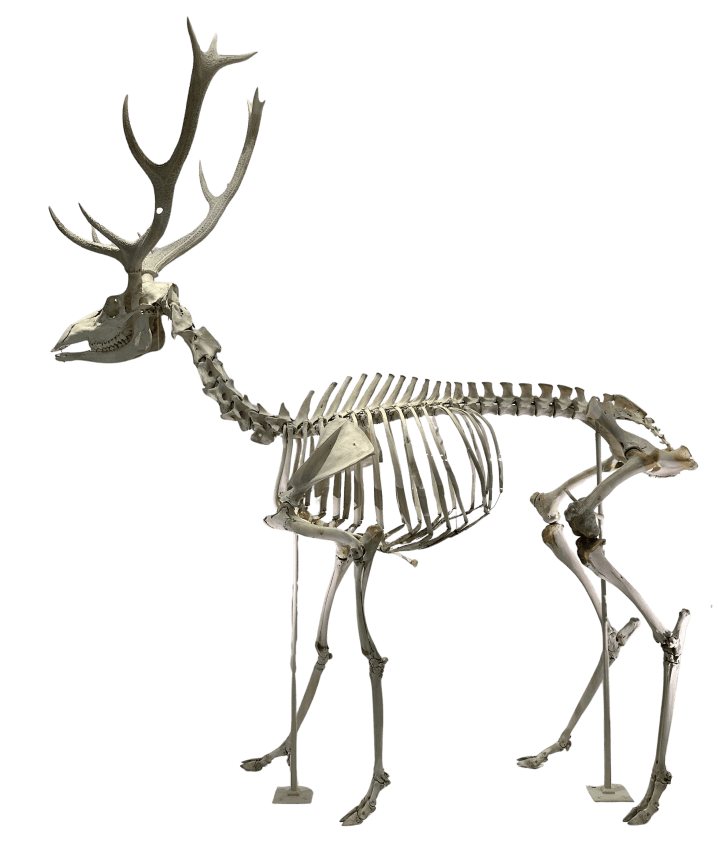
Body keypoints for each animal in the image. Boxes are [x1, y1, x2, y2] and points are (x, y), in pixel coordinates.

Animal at [49, 18, 698, 828]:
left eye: (115, 305)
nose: (59, 342)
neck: (281, 429)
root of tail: (605, 405)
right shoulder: (331, 538)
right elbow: (321, 641)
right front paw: (276, 759)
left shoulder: (358, 541)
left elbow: (370, 651)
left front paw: (365, 798)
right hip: (568, 502)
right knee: (596, 577)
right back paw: (560, 758)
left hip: (612, 463)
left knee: (641, 597)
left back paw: (643, 795)